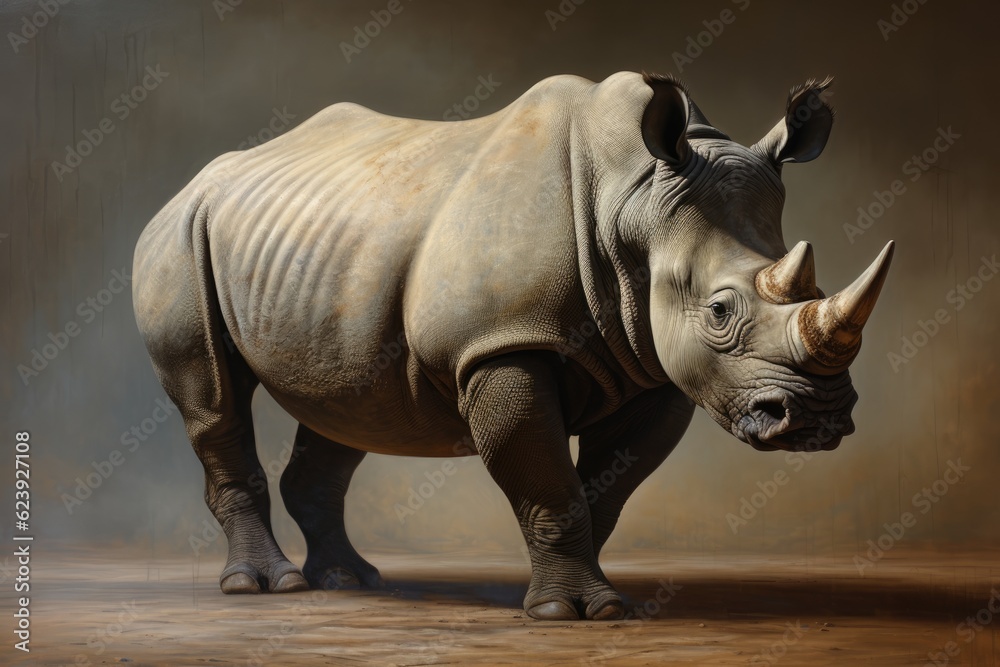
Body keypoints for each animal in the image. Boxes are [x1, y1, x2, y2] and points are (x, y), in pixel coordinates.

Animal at [133, 71, 893, 621]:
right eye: (719, 310)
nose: (818, 418)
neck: (633, 202)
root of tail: (195, 180)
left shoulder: (655, 369)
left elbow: (601, 489)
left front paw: (588, 595)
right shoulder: (499, 345)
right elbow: (552, 482)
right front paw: (571, 612)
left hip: (326, 255)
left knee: (347, 402)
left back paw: (350, 579)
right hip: (179, 235)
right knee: (213, 398)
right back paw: (266, 586)